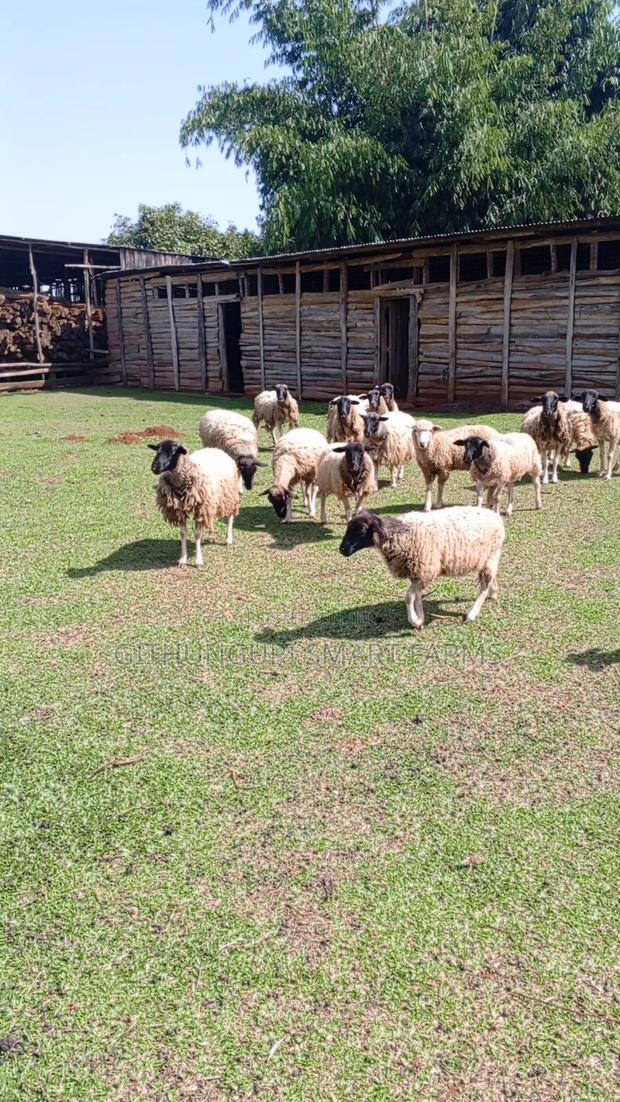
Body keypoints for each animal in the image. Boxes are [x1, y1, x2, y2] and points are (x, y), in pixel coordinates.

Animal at [339, 507, 505, 629]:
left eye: (362, 529)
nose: (342, 549)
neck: (400, 535)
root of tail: (494, 515)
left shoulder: (425, 570)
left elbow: (408, 596)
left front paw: (414, 621)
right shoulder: (417, 573)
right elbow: (416, 596)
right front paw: (420, 619)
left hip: (490, 556)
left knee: (483, 587)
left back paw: (472, 613)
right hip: (490, 558)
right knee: (492, 578)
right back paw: (494, 593)